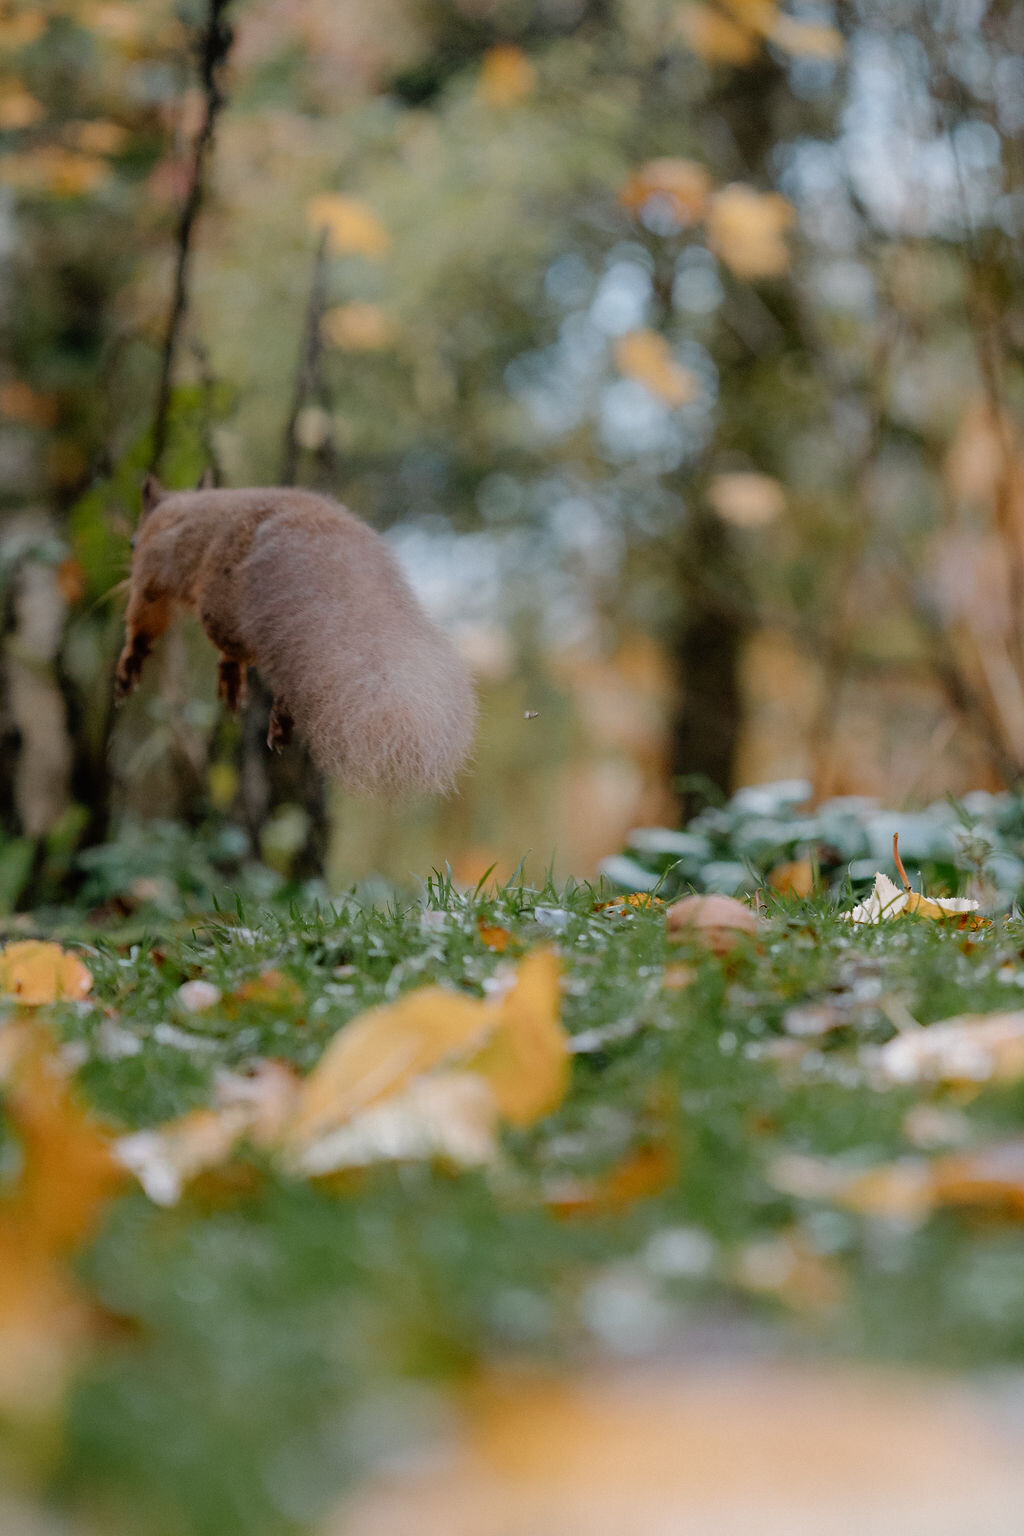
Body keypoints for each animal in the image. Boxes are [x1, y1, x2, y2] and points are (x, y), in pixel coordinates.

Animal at [115, 476, 476, 796]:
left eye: (132, 544)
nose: (129, 555)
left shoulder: (149, 577)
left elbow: (142, 622)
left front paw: (130, 661)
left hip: (220, 609)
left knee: (252, 649)